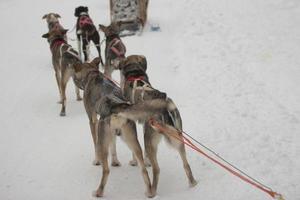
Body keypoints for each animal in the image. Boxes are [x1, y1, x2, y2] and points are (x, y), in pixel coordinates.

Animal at [72, 57, 172, 197]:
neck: (92, 74)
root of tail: (116, 106)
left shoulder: (93, 121)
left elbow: (95, 144)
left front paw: (97, 161)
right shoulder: (113, 132)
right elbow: (113, 146)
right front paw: (115, 161)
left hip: (106, 139)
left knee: (106, 170)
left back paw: (98, 192)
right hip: (132, 140)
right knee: (144, 169)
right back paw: (149, 191)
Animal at [118, 54, 199, 195]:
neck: (135, 72)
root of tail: (165, 107)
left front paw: (135, 161)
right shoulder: (144, 125)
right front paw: (146, 161)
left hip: (150, 141)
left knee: (157, 170)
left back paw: (151, 192)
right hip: (178, 139)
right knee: (186, 165)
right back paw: (192, 183)